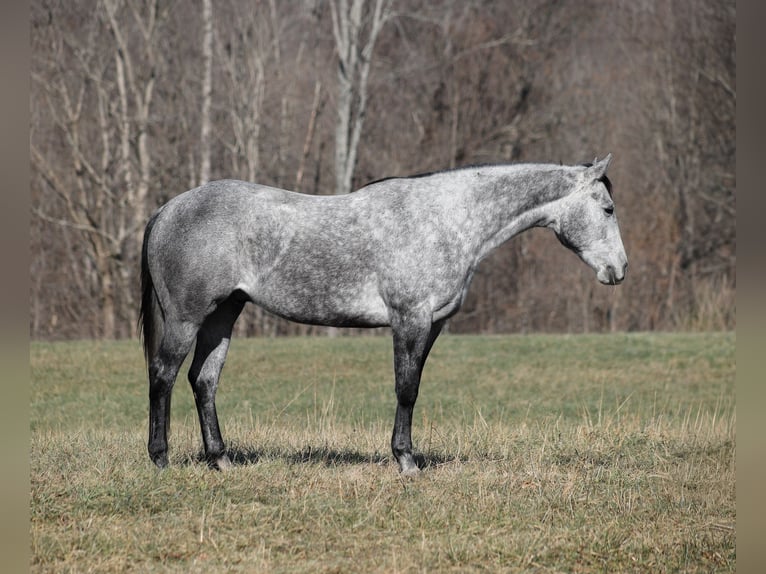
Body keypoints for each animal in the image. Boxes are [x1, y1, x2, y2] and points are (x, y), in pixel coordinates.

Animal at [139, 154, 627, 475]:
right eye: (607, 208)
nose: (618, 270)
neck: (445, 219)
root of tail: (167, 209)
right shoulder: (409, 319)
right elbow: (406, 389)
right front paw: (406, 462)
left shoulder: (432, 325)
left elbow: (413, 387)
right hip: (187, 318)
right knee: (163, 374)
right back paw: (161, 459)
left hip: (224, 314)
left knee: (203, 380)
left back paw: (221, 460)